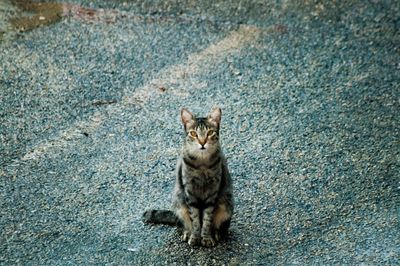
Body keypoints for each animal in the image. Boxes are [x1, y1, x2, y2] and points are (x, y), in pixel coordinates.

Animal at [142, 106, 233, 247]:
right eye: (193, 134)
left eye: (210, 132)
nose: (202, 142)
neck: (202, 163)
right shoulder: (189, 192)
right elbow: (195, 219)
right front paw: (195, 237)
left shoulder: (212, 192)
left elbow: (207, 219)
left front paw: (206, 237)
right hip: (179, 200)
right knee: (182, 224)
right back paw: (186, 233)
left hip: (226, 202)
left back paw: (216, 233)